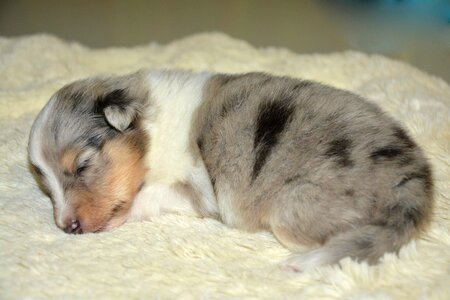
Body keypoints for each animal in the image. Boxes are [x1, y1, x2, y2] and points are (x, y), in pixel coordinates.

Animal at [27, 69, 432, 270]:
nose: (67, 227)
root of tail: (415, 183)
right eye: (45, 185)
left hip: (293, 209)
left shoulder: (199, 187)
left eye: (82, 165)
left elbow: (149, 196)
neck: (153, 130)